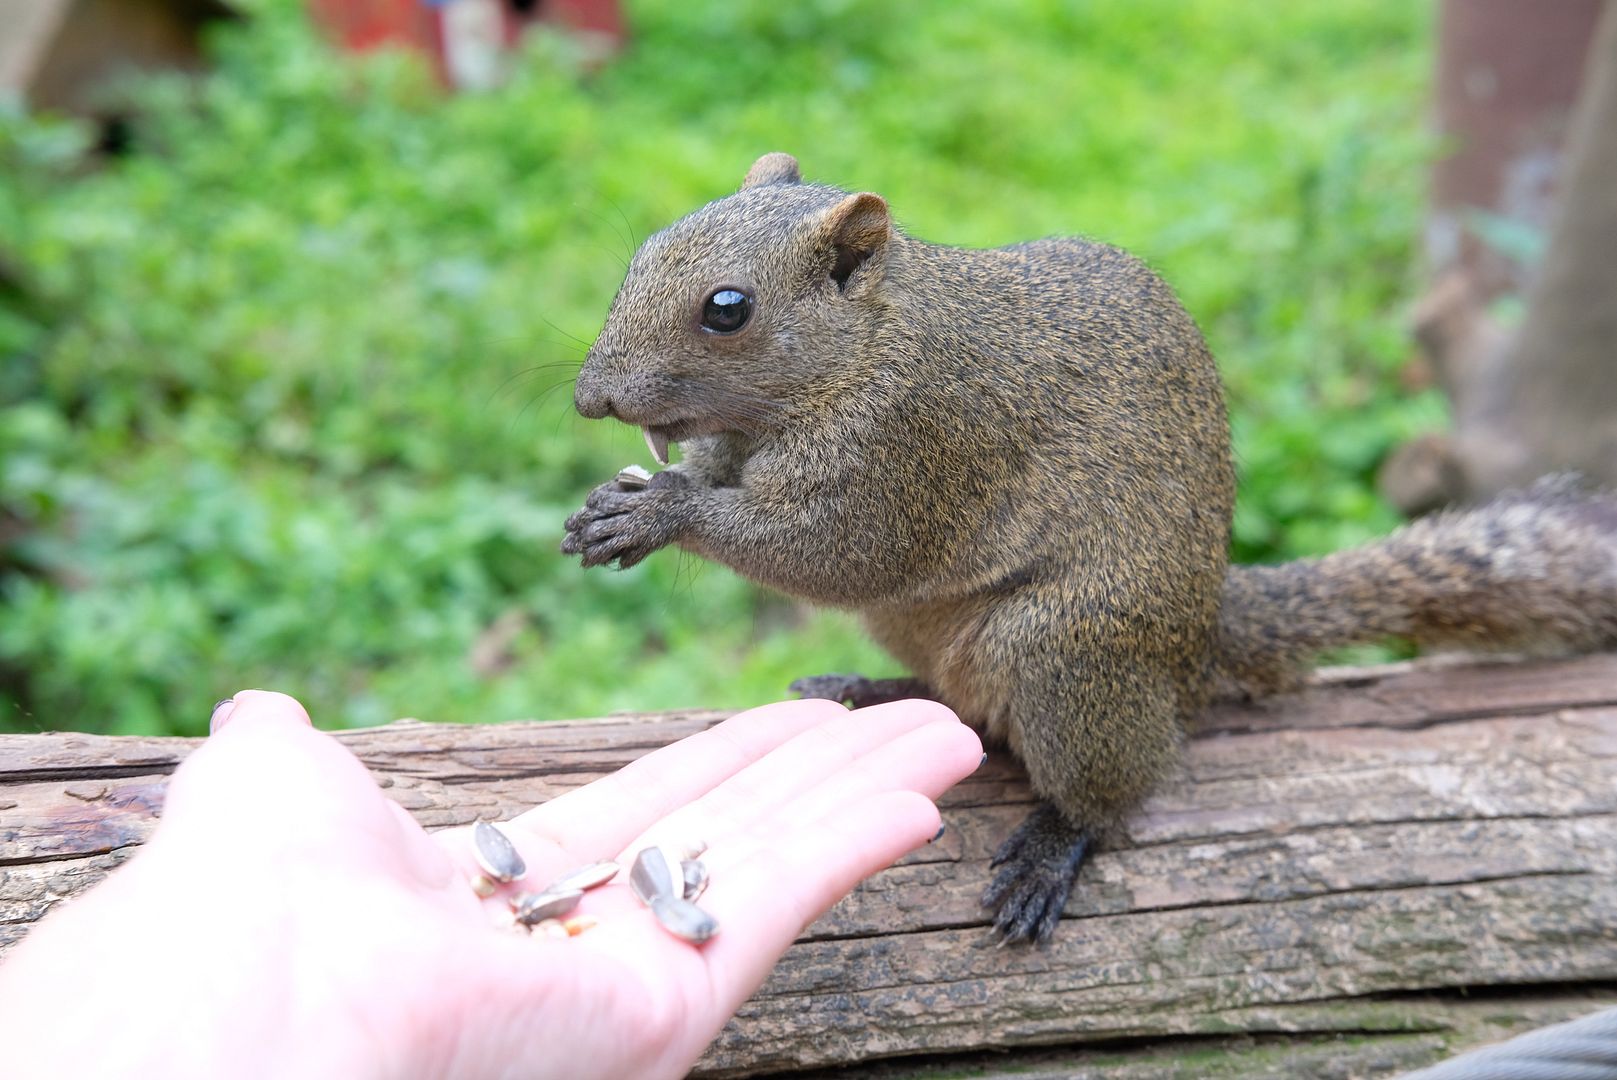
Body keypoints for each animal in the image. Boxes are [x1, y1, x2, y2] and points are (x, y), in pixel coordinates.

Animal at [559, 151, 1617, 944]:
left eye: (727, 308)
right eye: (645, 250)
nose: (590, 398)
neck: (865, 346)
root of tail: (1196, 644)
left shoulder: (914, 445)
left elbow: (836, 551)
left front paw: (661, 514)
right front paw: (627, 495)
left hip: (1068, 655)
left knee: (1106, 788)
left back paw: (1050, 848)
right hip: (934, 633)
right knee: (962, 707)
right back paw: (874, 691)